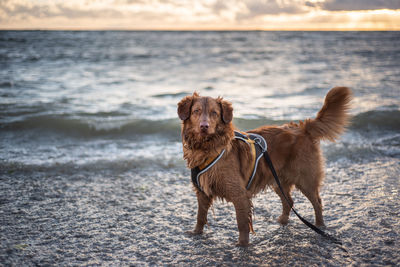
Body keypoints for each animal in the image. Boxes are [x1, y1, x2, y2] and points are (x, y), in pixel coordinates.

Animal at [177, 87, 350, 247]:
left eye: (214, 113)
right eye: (196, 111)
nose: (204, 126)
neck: (207, 148)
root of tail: (302, 128)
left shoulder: (239, 194)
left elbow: (242, 222)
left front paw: (243, 244)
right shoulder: (201, 192)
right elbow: (200, 215)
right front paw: (196, 232)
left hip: (305, 179)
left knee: (317, 202)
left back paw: (320, 225)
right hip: (278, 180)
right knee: (289, 201)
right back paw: (282, 221)